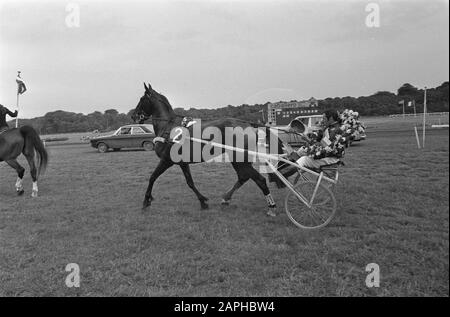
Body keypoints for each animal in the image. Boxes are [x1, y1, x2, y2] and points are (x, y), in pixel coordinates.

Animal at [130, 82, 282, 214]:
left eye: (142, 99)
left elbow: (152, 177)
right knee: (244, 177)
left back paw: (271, 207)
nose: (133, 115)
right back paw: (226, 199)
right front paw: (203, 201)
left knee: (259, 179)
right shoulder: (182, 163)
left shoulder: (166, 160)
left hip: (240, 159)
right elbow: (190, 182)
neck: (169, 127)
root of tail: (249, 125)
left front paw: (146, 201)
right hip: (238, 160)